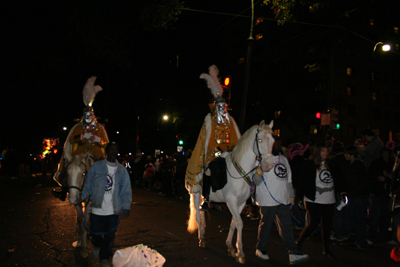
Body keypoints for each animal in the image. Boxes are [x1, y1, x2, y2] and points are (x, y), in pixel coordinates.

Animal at [187, 120, 276, 264]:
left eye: (273, 141)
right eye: (260, 140)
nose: (268, 166)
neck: (240, 171)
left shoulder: (240, 203)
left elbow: (234, 222)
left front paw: (230, 246)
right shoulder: (231, 201)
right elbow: (239, 222)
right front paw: (240, 253)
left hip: (204, 196)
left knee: (202, 210)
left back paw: (204, 231)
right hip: (195, 193)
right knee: (197, 215)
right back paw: (202, 239)